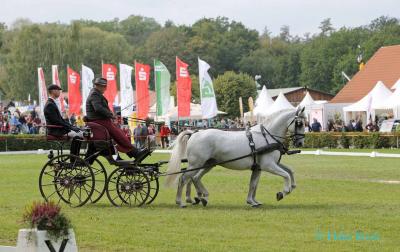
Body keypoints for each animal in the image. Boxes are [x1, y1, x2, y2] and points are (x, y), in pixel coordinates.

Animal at [166, 106, 306, 207]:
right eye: (299, 123)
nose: (300, 143)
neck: (266, 136)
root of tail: (194, 133)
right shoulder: (268, 165)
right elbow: (286, 175)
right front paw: (283, 192)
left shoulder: (260, 167)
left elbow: (255, 183)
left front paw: (252, 201)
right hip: (196, 164)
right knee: (184, 179)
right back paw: (181, 202)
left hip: (208, 164)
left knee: (195, 178)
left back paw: (202, 197)